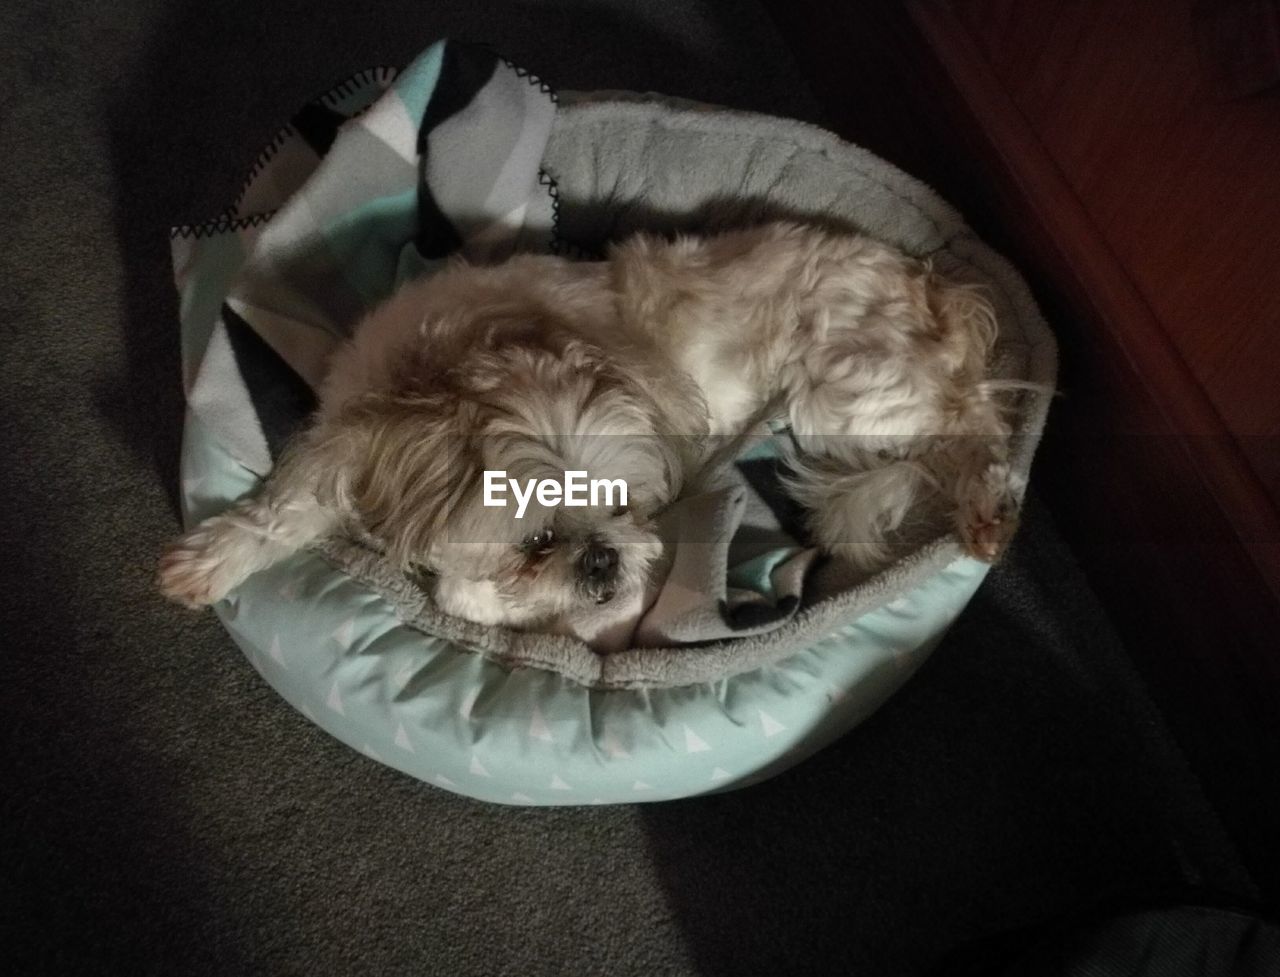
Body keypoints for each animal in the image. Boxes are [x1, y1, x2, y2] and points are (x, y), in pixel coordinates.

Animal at [157, 221, 1018, 629]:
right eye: (536, 541)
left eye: (622, 508)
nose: (603, 558)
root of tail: (936, 291)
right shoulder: (348, 431)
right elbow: (283, 507)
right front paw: (212, 560)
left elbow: (462, 595)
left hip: (843, 397)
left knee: (968, 425)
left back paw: (986, 503)